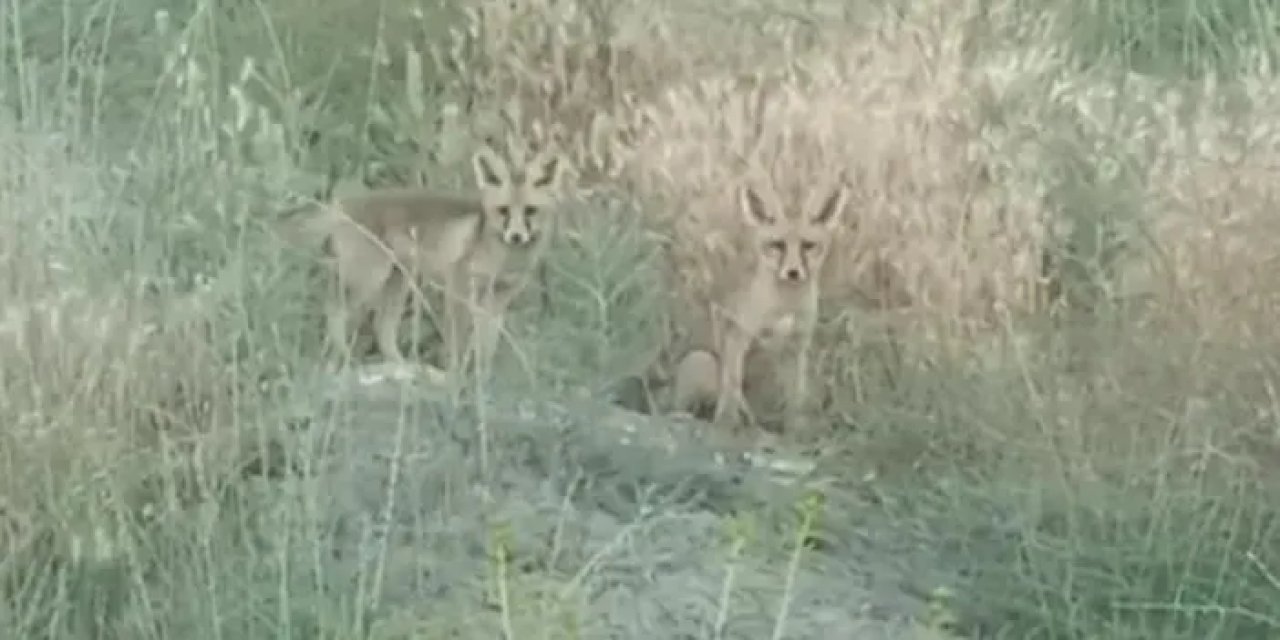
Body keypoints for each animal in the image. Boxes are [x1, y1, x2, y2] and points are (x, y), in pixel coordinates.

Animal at [280, 140, 565, 373]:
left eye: (530, 211)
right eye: (503, 211)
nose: (516, 236)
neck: (502, 255)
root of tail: (343, 205)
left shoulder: (499, 298)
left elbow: (487, 346)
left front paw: (483, 381)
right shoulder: (459, 287)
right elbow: (458, 342)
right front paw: (455, 379)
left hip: (396, 282)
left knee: (382, 327)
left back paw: (403, 368)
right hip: (368, 279)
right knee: (334, 310)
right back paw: (344, 357)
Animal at [665, 176, 844, 435]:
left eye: (808, 246)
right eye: (777, 245)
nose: (793, 272)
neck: (785, 306)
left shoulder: (797, 347)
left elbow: (796, 397)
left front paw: (797, 430)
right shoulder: (739, 334)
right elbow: (732, 386)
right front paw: (726, 422)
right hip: (701, 361)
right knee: (682, 407)